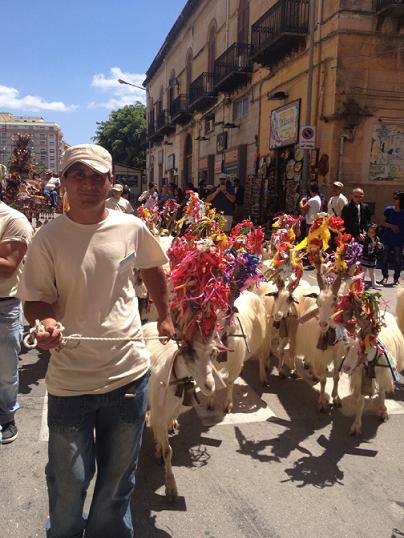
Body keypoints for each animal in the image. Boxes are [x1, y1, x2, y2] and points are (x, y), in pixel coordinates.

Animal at [143, 318, 224, 498]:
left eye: (213, 353)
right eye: (191, 352)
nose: (210, 386)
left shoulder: (168, 412)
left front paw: (159, 447)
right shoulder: (159, 412)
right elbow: (167, 451)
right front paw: (171, 487)